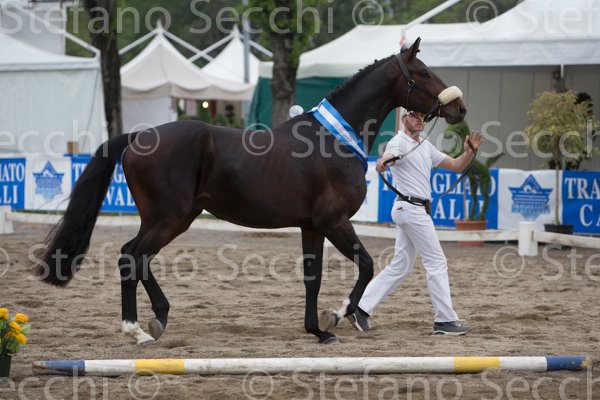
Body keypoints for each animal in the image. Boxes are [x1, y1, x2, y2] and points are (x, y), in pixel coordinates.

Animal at [35, 38, 466, 345]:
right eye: (422, 73)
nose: (459, 109)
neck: (332, 140)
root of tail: (139, 136)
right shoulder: (335, 221)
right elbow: (366, 266)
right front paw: (338, 315)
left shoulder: (312, 226)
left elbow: (313, 277)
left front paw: (317, 330)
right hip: (167, 218)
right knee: (131, 257)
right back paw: (138, 328)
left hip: (175, 218)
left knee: (137, 258)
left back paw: (157, 317)